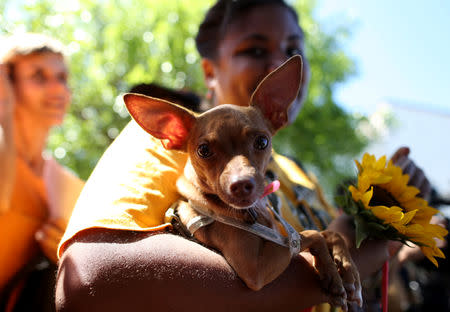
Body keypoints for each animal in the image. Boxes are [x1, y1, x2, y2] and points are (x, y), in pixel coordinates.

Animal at [124, 55, 362, 308]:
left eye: (262, 142)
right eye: (203, 150)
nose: (241, 185)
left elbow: (329, 233)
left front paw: (345, 270)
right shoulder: (255, 269)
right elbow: (310, 234)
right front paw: (332, 273)